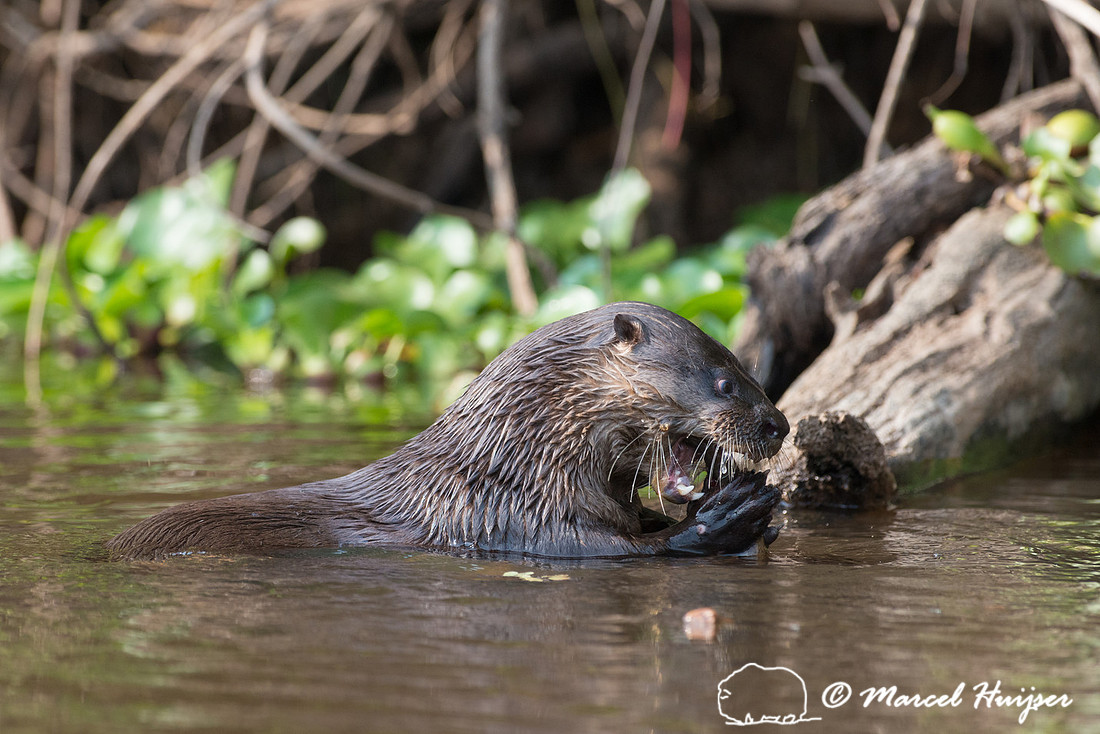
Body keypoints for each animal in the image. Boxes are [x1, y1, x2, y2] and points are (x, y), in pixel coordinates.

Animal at [108, 302, 789, 560]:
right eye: (725, 382)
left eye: (746, 364)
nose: (778, 423)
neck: (518, 461)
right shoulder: (519, 520)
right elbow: (629, 549)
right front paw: (731, 514)